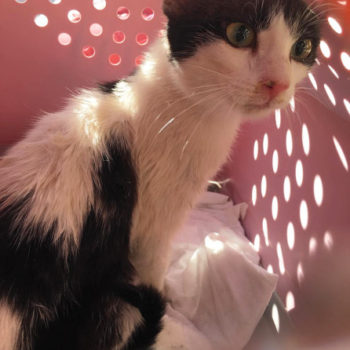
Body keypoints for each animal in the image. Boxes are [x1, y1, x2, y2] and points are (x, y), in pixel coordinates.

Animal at [0, 0, 320, 348]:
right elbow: (155, 267)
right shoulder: (151, 228)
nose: (279, 84)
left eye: (302, 47)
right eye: (239, 33)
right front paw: (166, 294)